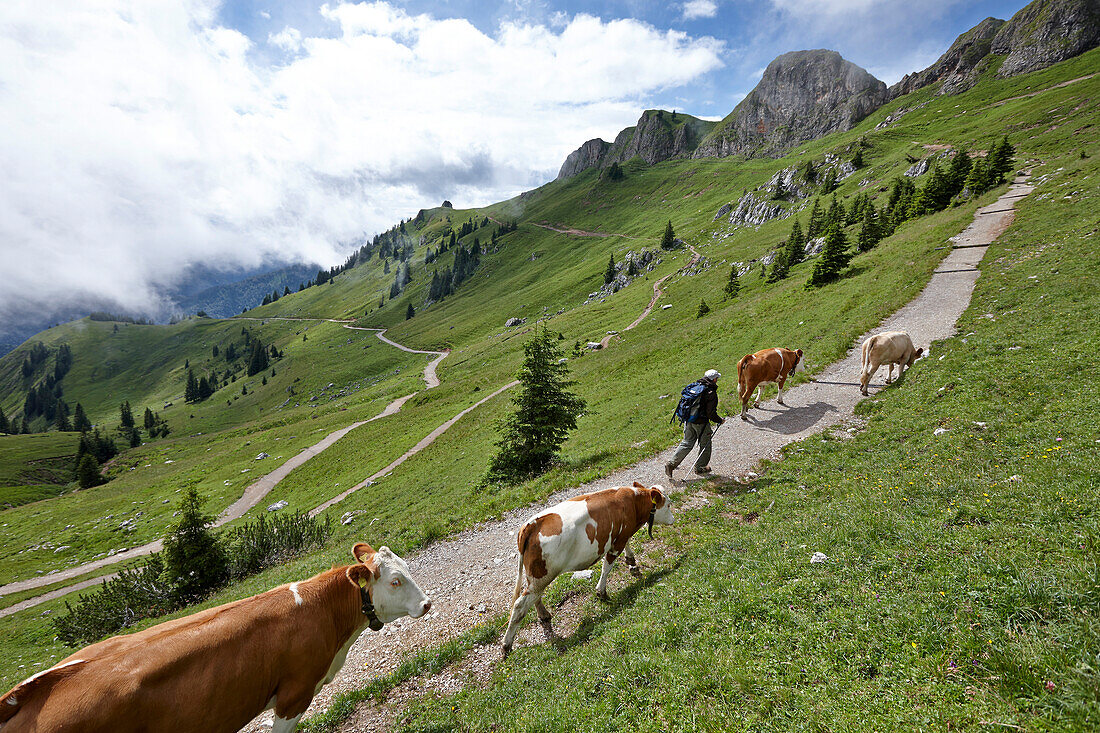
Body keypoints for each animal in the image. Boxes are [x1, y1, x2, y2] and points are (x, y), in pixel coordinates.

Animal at [503, 482, 673, 651]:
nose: (673, 520)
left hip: (535, 577)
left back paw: (543, 615)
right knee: (519, 605)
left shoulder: (621, 536)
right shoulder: (618, 540)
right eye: (669, 505)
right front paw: (601, 592)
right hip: (542, 576)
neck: (634, 501)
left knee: (534, 597)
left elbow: (627, 545)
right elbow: (607, 567)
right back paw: (506, 646)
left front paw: (631, 562)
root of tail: (531, 524)